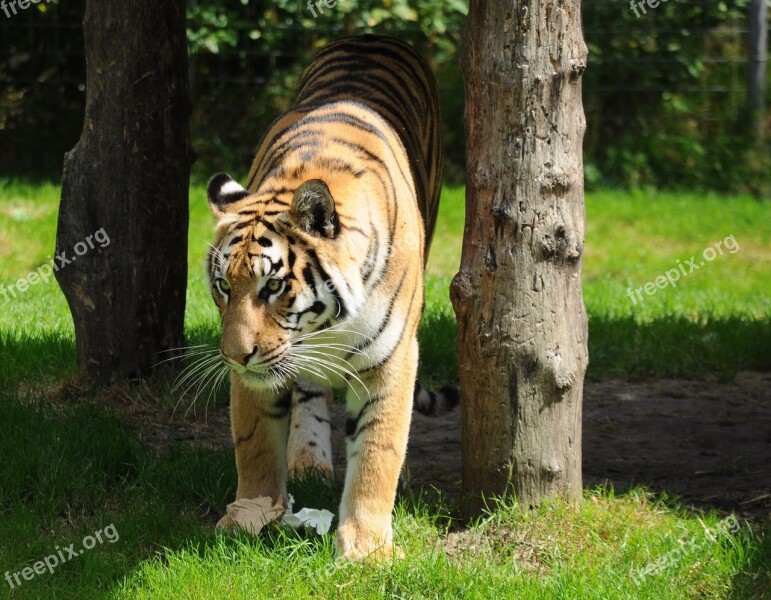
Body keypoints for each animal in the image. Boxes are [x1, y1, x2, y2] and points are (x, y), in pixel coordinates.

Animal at [208, 35, 456, 560]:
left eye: (273, 286)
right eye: (223, 286)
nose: (234, 356)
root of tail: (373, 36)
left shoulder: (394, 357)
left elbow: (379, 451)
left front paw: (366, 550)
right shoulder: (260, 371)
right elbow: (254, 441)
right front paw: (248, 517)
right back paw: (308, 460)